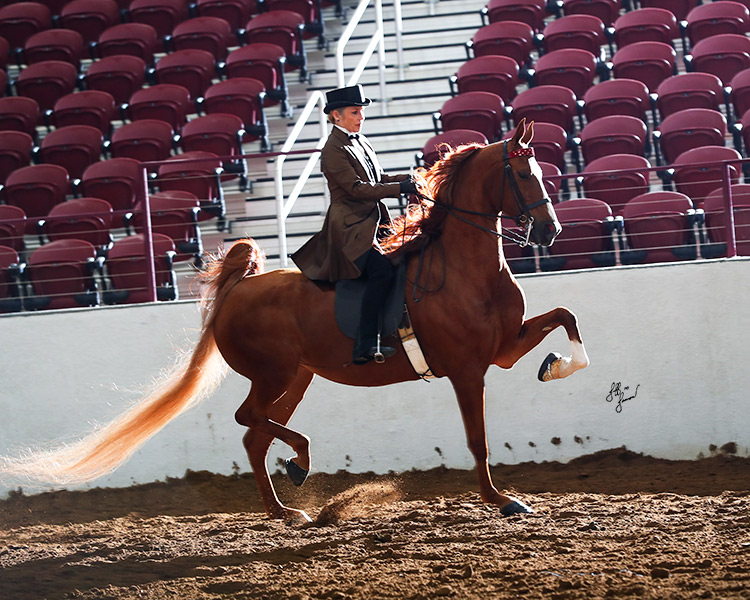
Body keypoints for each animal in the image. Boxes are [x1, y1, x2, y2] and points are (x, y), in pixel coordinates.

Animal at [0, 120, 589, 523]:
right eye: (522, 172)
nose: (551, 231)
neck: (464, 268)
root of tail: (238, 289)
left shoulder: (502, 349)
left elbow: (566, 317)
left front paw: (556, 365)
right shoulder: (468, 369)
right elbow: (477, 439)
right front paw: (503, 500)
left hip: (296, 377)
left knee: (254, 437)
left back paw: (285, 508)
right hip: (274, 374)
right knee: (248, 420)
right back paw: (299, 467)